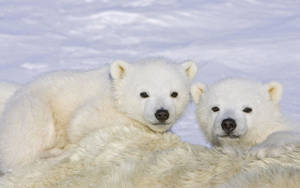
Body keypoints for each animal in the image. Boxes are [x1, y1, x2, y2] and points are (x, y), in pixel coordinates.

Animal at [0, 58, 197, 172]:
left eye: (174, 93)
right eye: (144, 93)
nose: (162, 113)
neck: (115, 90)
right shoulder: (98, 106)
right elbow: (81, 123)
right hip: (33, 106)